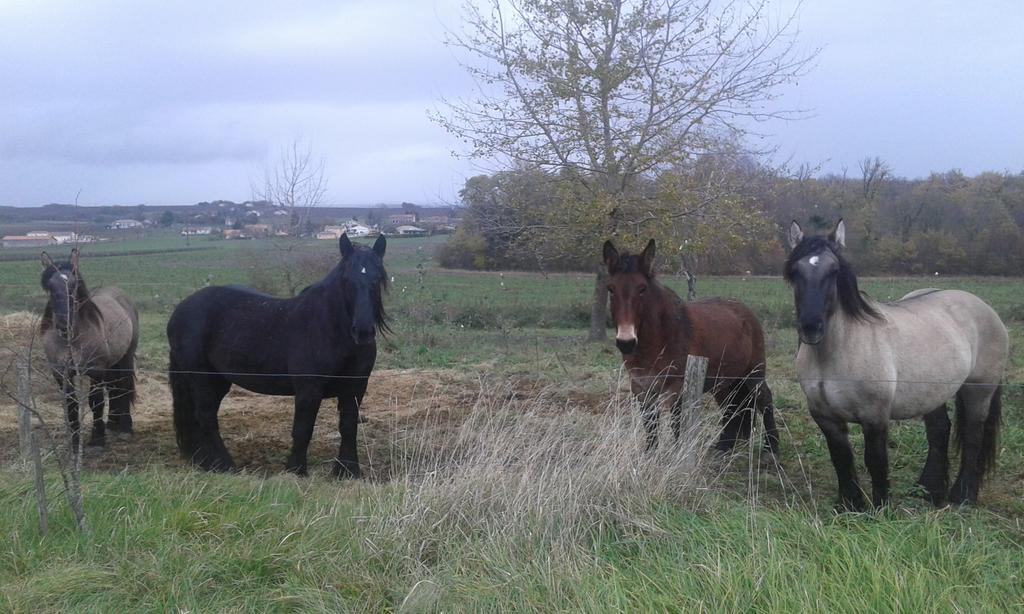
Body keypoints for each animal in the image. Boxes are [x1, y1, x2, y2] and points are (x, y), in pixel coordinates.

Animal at [169, 232, 385, 476]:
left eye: (378, 279)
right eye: (347, 280)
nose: (363, 331)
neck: (329, 329)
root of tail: (180, 310)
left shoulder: (355, 387)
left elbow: (348, 427)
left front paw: (347, 471)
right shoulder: (308, 389)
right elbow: (303, 429)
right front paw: (296, 470)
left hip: (218, 381)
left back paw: (207, 462)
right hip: (201, 377)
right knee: (205, 415)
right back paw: (225, 465)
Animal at [598, 238, 774, 450]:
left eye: (642, 289)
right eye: (611, 289)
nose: (626, 342)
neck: (659, 340)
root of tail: (745, 311)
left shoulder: (677, 389)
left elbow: (676, 426)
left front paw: (676, 454)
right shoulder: (642, 389)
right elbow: (650, 429)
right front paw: (650, 455)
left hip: (754, 373)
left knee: (764, 399)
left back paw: (771, 448)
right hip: (726, 381)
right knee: (733, 408)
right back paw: (723, 447)